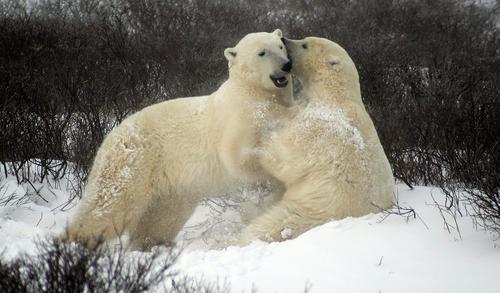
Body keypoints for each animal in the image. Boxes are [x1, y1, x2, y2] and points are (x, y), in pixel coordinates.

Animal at [65, 29, 292, 249]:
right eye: (262, 52)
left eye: (280, 46)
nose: (286, 65)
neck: (251, 91)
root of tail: (109, 137)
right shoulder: (239, 118)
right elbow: (238, 158)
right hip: (133, 162)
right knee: (110, 204)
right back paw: (76, 242)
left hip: (171, 187)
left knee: (162, 218)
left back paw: (151, 244)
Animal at [239, 36, 394, 242]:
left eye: (305, 44)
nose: (284, 39)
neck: (336, 95)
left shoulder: (319, 127)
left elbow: (285, 157)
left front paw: (261, 140)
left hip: (308, 209)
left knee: (268, 225)